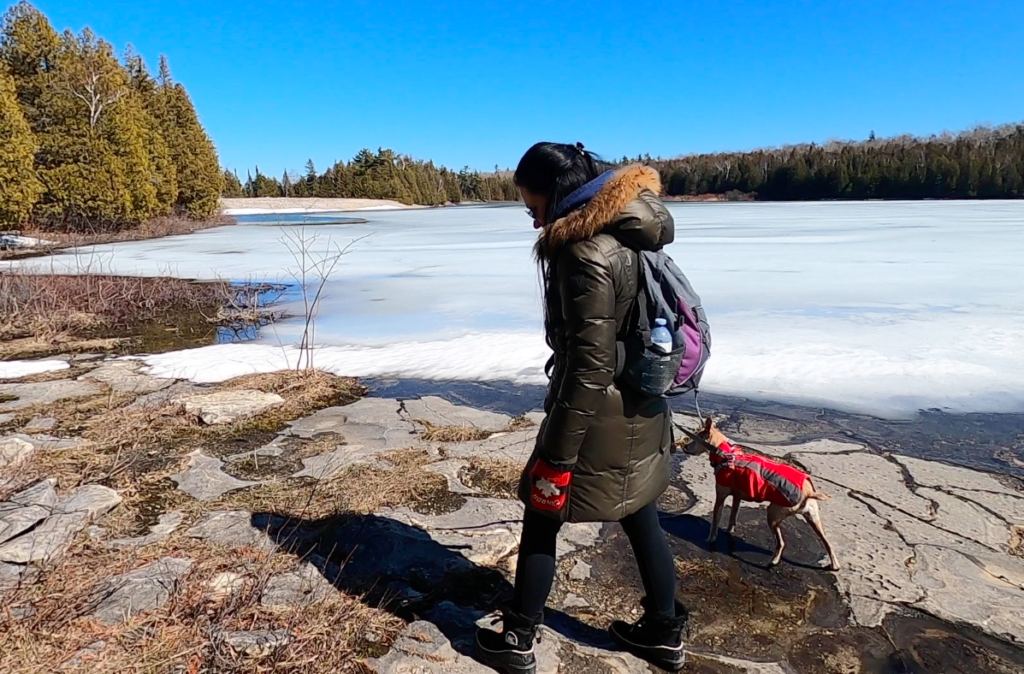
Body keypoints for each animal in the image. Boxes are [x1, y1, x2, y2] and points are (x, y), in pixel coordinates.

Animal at [679, 417, 839, 569]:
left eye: (695, 439)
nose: (684, 447)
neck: (725, 453)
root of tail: (808, 492)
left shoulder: (720, 497)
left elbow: (715, 522)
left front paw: (710, 539)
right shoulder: (737, 497)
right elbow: (732, 517)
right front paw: (729, 531)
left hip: (773, 515)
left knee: (781, 543)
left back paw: (773, 561)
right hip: (813, 518)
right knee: (828, 543)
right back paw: (834, 565)